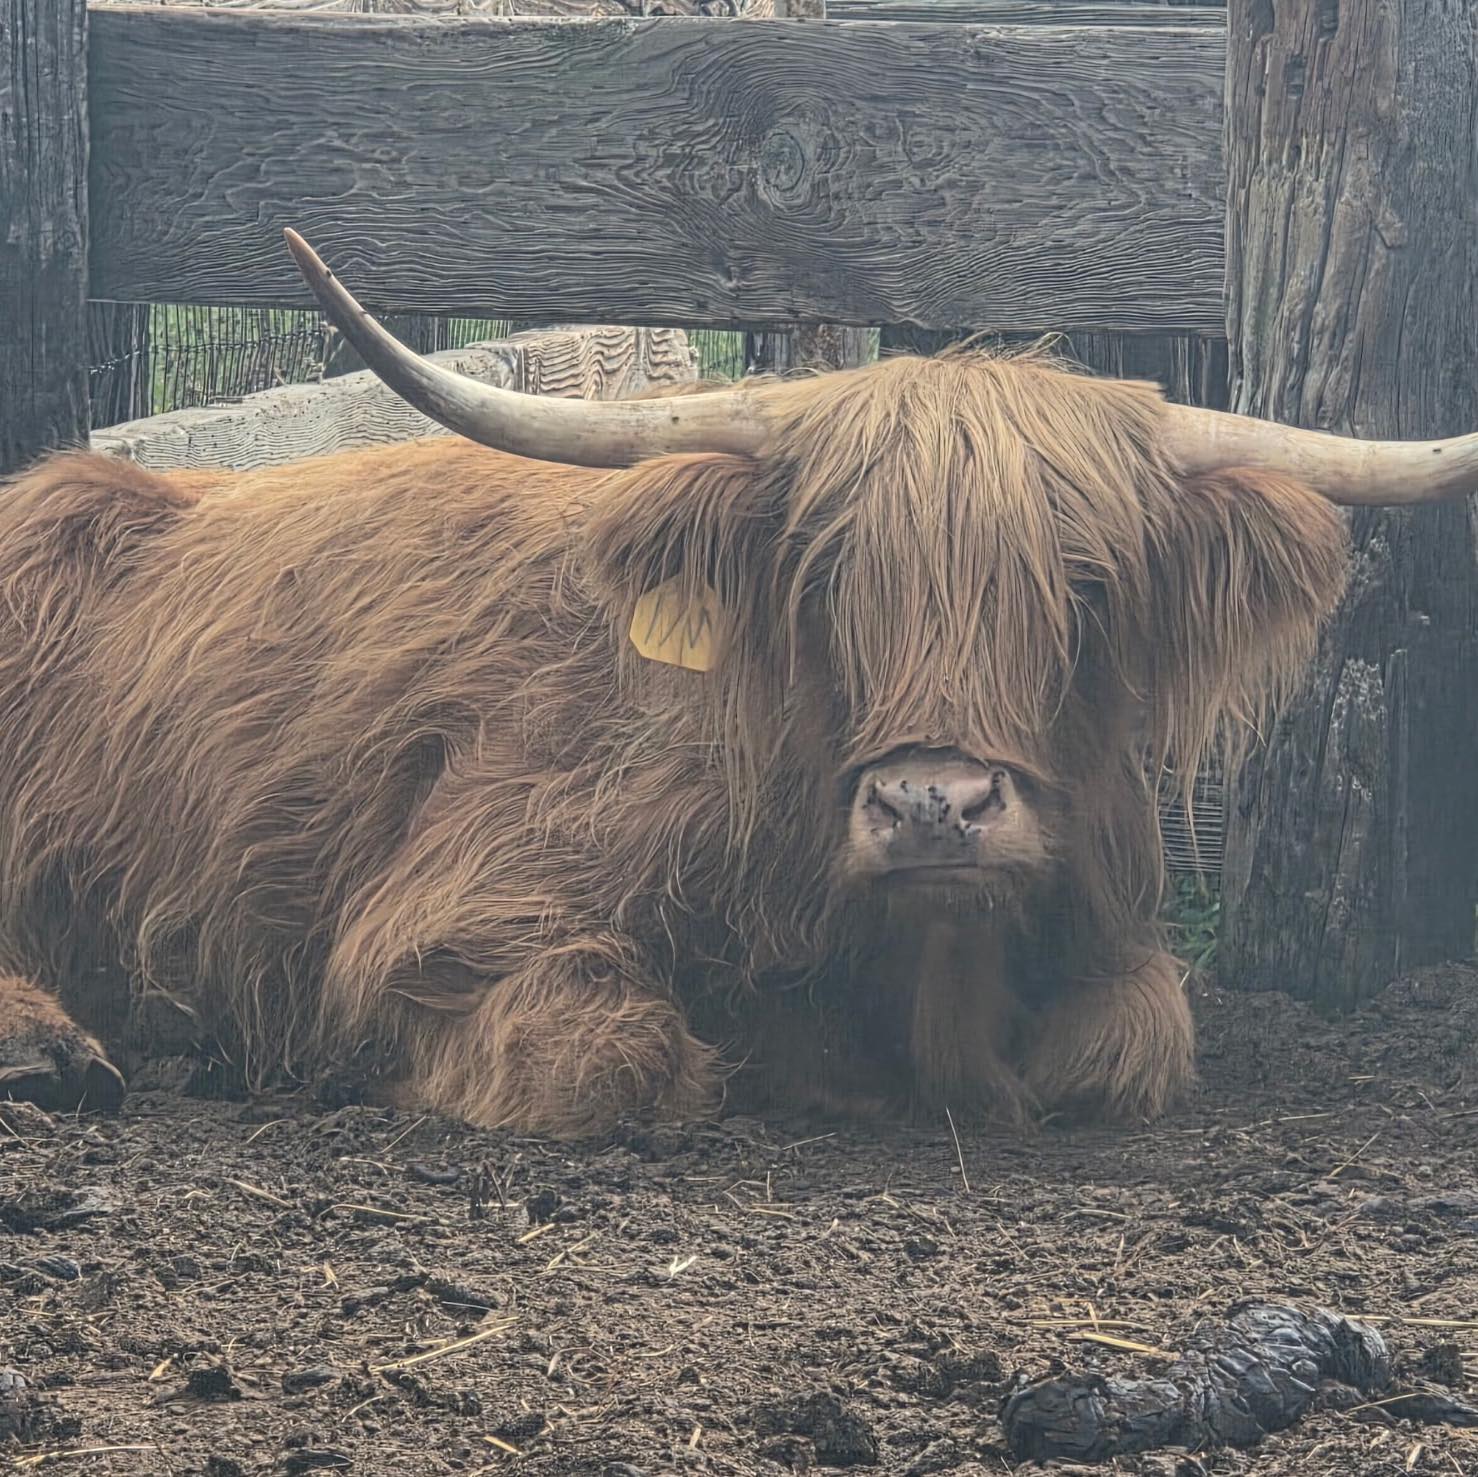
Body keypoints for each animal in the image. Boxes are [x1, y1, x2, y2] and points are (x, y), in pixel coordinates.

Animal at [0, 230, 1472, 1137]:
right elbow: (619, 1056)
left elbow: (1128, 1046)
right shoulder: (442, 914)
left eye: (1086, 585)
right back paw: (53, 1050)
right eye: (826, 582)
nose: (932, 808)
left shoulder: (1111, 941)